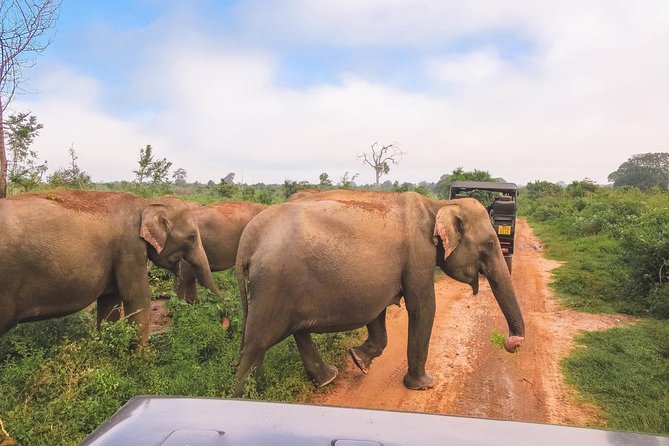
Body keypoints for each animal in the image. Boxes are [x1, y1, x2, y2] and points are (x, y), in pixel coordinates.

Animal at [0, 190, 217, 345]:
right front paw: (142, 362)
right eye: (192, 237)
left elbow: (110, 301)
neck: (146, 203)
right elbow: (136, 298)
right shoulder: (129, 247)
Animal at [232, 190, 525, 396]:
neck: (437, 204)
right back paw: (243, 397)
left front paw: (359, 359)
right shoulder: (418, 253)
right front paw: (424, 385)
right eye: (490, 243)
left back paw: (327, 379)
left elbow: (378, 312)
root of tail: (248, 239)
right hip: (273, 283)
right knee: (256, 345)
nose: (512, 343)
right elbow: (423, 307)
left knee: (295, 331)